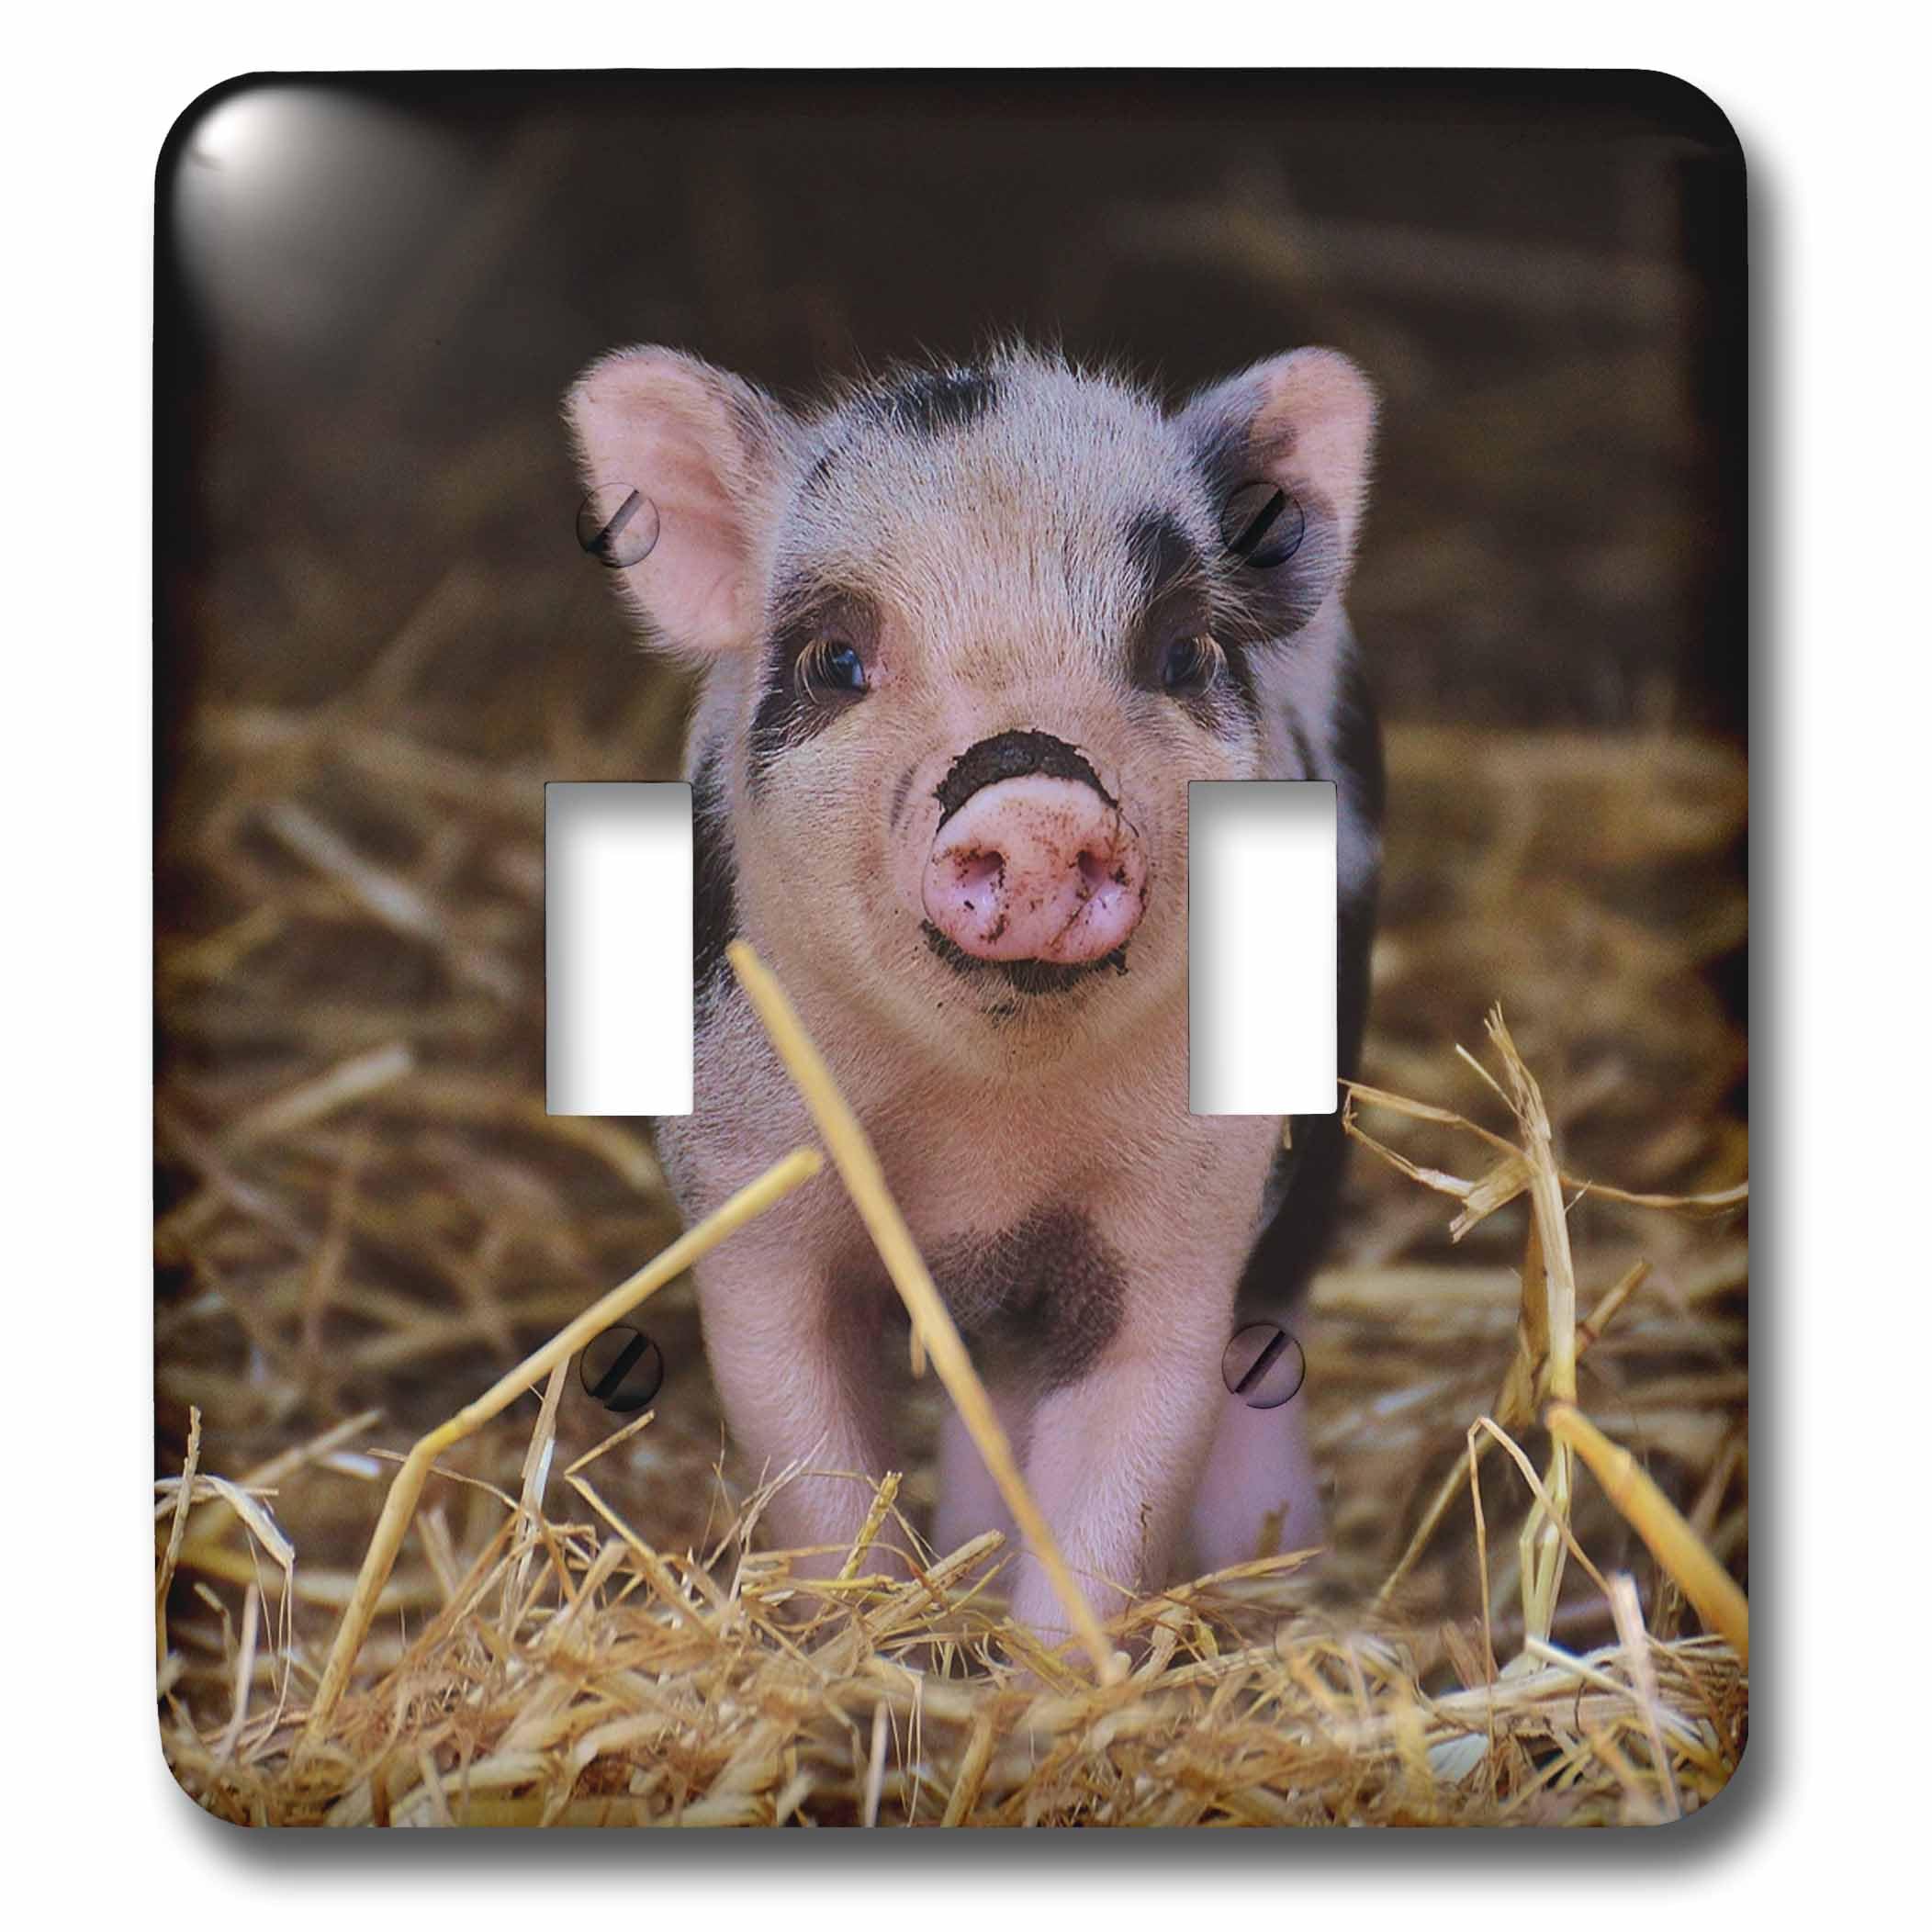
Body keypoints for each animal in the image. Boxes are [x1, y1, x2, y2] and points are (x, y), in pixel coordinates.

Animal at [564, 343, 1382, 1651]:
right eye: (836, 660)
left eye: (1182, 654)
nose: (1034, 796)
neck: (985, 1139)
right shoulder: (748, 1186)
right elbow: (808, 1449)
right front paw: (876, 1644)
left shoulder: (1183, 1221)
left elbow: (1125, 1465)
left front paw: (1043, 1675)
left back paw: (1281, 1570)